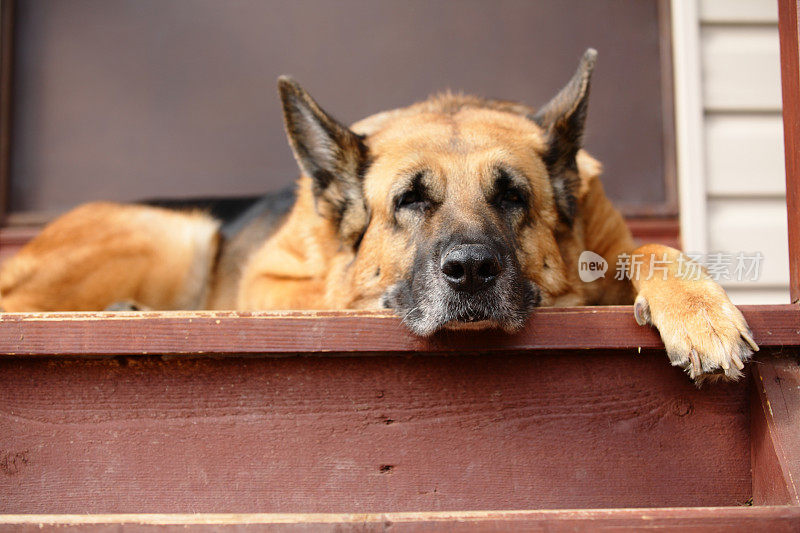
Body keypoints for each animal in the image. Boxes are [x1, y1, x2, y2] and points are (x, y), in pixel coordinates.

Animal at [0, 50, 756, 380]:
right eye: (410, 200)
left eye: (512, 196)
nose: (471, 270)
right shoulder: (275, 287)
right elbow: (338, 300)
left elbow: (652, 251)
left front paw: (701, 314)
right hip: (176, 231)